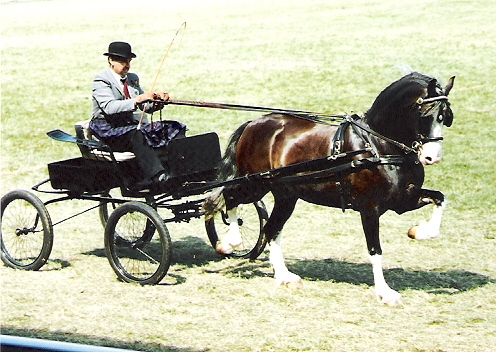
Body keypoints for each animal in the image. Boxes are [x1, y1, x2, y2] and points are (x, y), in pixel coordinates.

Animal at [203, 72, 456, 306]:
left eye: (446, 116)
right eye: (426, 114)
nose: (432, 157)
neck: (376, 146)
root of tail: (254, 124)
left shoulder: (403, 200)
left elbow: (440, 199)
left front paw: (420, 232)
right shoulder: (369, 208)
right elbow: (375, 250)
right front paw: (385, 293)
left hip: (286, 196)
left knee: (271, 229)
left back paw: (284, 276)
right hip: (254, 184)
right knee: (228, 198)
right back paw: (229, 242)